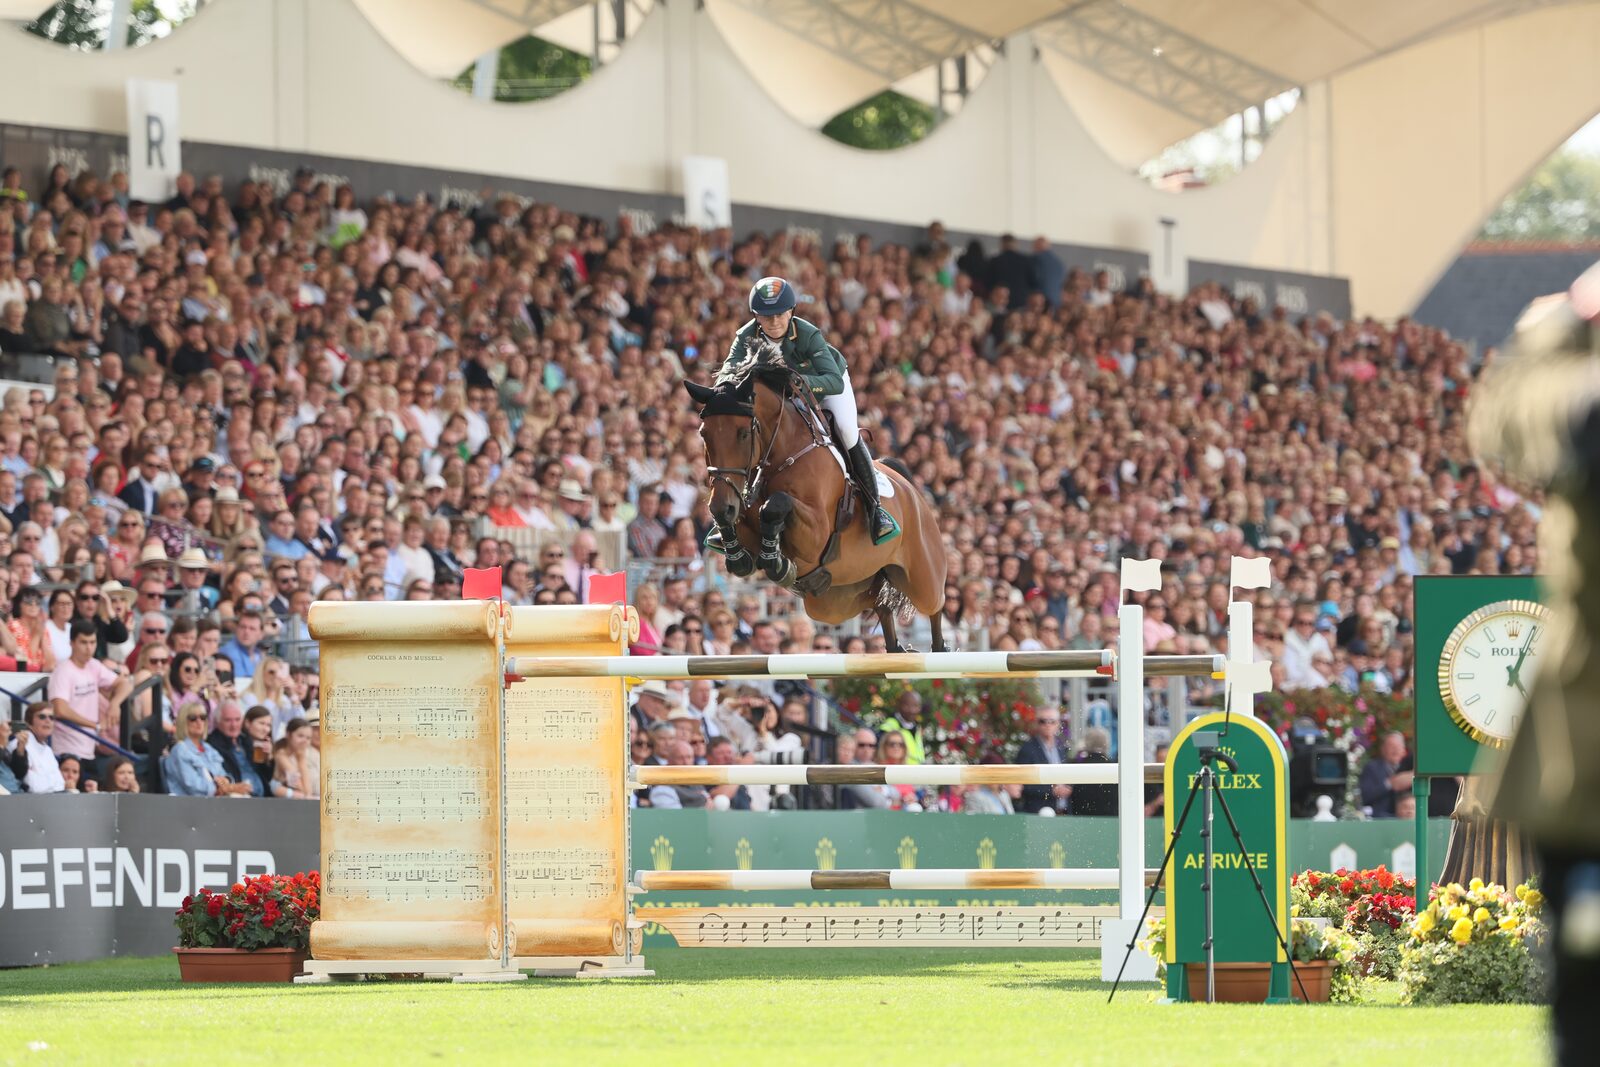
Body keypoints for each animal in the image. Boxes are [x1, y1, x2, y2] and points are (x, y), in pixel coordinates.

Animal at [684, 359, 949, 652]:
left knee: (935, 604)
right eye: (704, 434)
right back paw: (896, 649)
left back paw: (940, 649)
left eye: (743, 433)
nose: (722, 505)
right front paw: (741, 554)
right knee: (881, 604)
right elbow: (744, 529)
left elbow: (776, 504)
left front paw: (777, 563)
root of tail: (911, 490)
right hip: (839, 599)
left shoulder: (816, 532)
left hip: (922, 576)